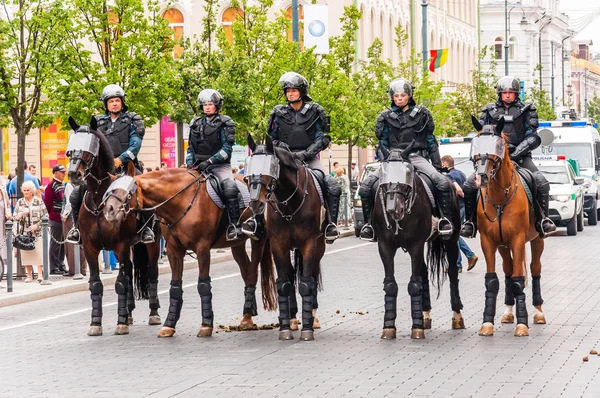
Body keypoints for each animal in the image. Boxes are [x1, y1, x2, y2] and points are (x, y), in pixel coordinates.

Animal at [66, 116, 162, 338]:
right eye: (70, 149)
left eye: (88, 150)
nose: (74, 174)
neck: (99, 198)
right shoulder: (91, 248)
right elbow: (96, 284)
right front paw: (96, 323)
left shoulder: (120, 245)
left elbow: (120, 283)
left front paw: (120, 323)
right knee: (131, 271)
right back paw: (129, 313)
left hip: (151, 244)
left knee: (151, 273)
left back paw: (153, 313)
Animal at [102, 166, 278, 338]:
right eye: (109, 190)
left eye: (128, 192)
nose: (109, 210)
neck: (181, 201)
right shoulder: (173, 250)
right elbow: (175, 287)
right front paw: (169, 325)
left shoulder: (202, 248)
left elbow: (203, 285)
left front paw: (206, 325)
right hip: (237, 245)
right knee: (246, 271)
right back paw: (248, 314)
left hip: (258, 240)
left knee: (253, 273)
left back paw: (247, 314)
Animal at [245, 135, 326, 340]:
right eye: (248, 173)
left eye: (269, 170)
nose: (255, 204)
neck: (290, 203)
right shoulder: (278, 245)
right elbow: (283, 284)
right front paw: (285, 328)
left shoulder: (309, 243)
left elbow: (306, 283)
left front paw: (307, 329)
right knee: (290, 275)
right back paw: (292, 317)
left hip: (319, 246)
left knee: (312, 275)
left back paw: (312, 316)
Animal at [472, 116, 548, 338]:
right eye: (476, 144)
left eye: (498, 146)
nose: (481, 177)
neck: (500, 198)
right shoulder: (488, 242)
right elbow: (493, 280)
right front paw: (487, 323)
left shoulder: (518, 240)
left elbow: (518, 279)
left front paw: (522, 324)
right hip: (503, 246)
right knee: (507, 269)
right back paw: (507, 312)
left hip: (536, 240)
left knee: (534, 269)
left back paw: (538, 313)